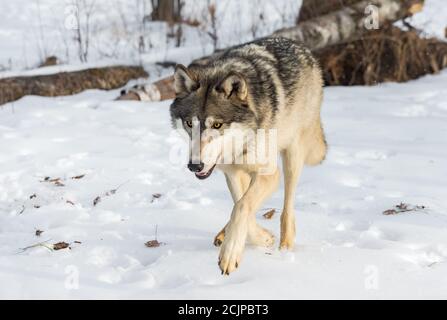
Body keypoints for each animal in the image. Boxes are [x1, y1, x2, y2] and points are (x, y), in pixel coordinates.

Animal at [170, 37, 328, 272]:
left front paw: (230, 253)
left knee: (287, 206)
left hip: (291, 156)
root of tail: (300, 46)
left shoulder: (269, 174)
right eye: (190, 123)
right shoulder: (233, 173)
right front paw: (261, 238)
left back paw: (285, 245)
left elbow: (242, 206)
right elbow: (240, 204)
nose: (194, 166)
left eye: (217, 125)